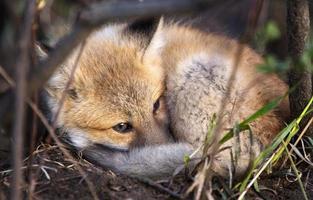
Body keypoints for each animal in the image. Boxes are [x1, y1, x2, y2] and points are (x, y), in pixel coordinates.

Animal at [43, 17, 288, 180]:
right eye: (121, 127)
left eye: (156, 105)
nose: (163, 143)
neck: (164, 56)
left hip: (192, 76)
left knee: (205, 157)